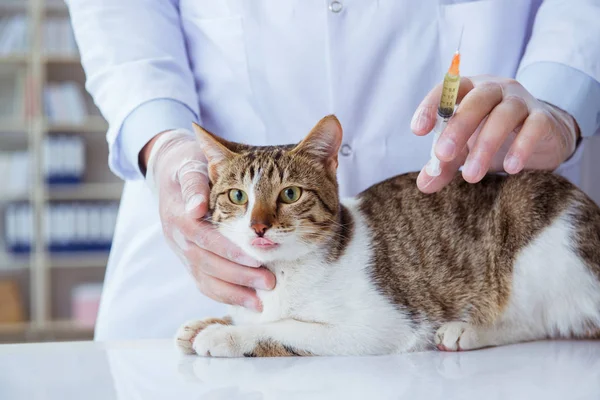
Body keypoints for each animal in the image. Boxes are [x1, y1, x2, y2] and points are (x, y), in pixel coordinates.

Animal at [173, 115, 600, 356]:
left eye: (290, 194)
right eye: (237, 196)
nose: (258, 226)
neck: (282, 273)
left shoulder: (381, 325)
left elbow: (285, 328)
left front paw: (225, 335)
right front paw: (206, 323)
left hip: (535, 230)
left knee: (543, 321)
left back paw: (466, 330)